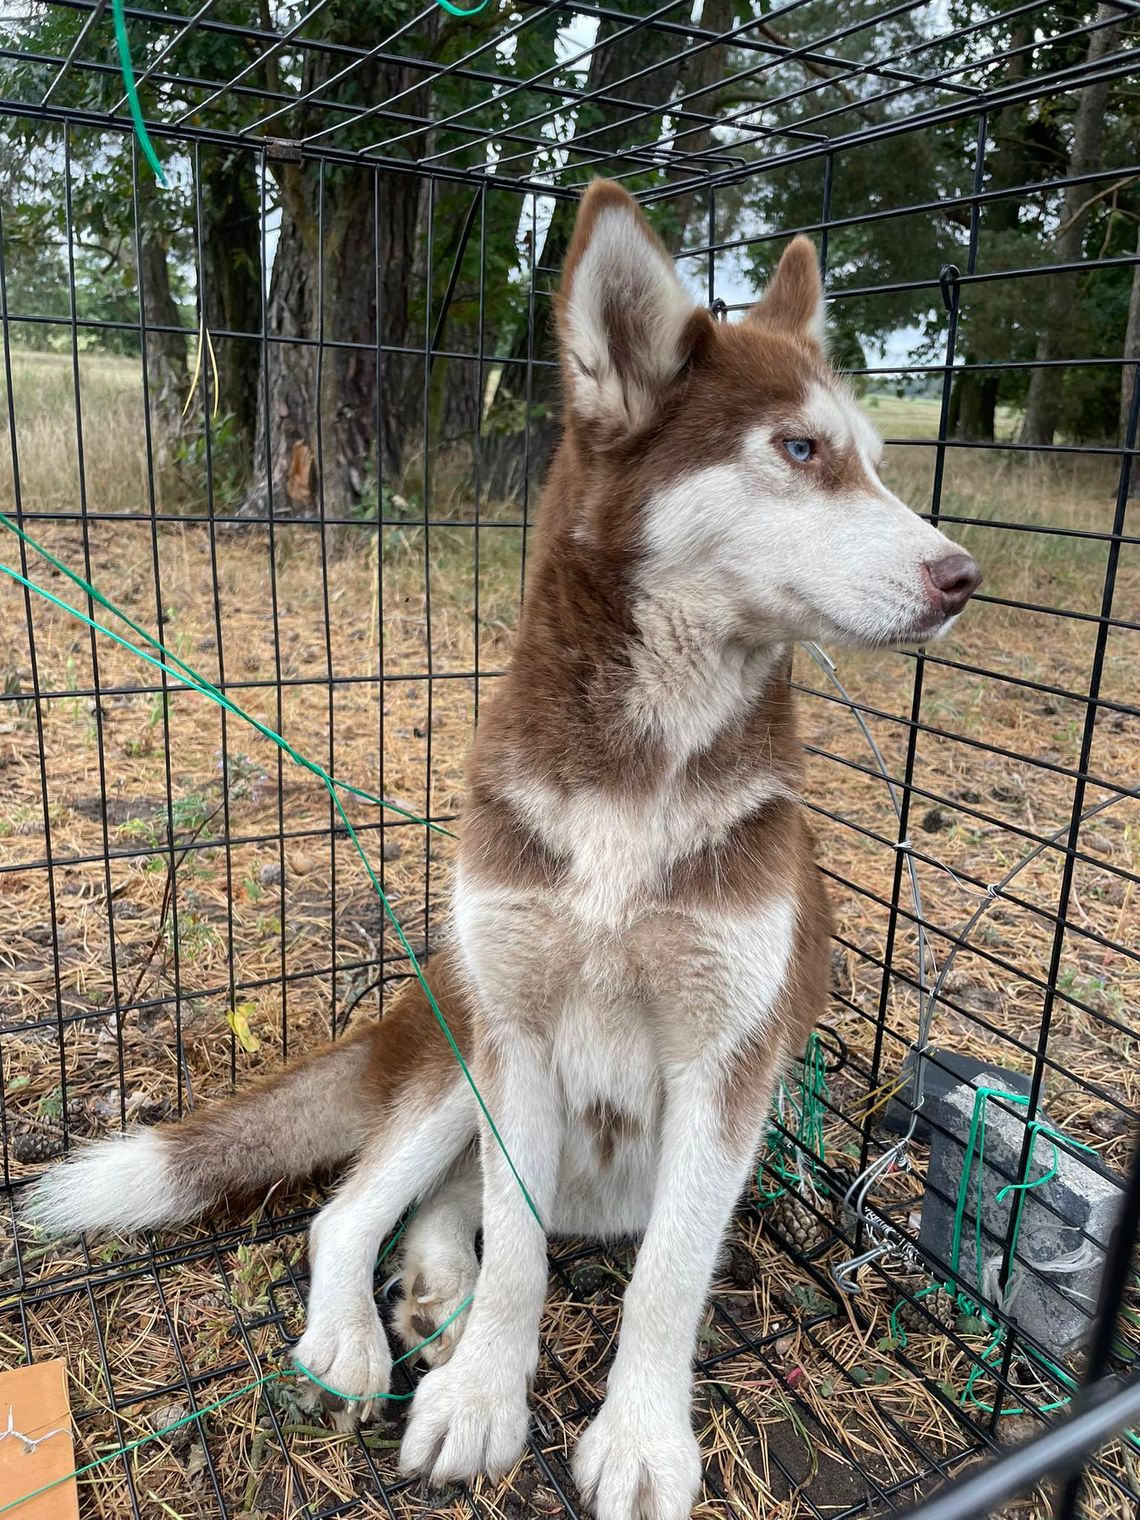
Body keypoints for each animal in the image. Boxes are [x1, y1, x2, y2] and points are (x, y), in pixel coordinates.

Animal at [31, 180, 984, 1520]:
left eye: (877, 462)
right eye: (802, 451)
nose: (965, 575)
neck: (637, 773)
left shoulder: (726, 1067)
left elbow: (667, 1278)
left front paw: (639, 1435)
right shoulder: (519, 1036)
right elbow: (524, 1249)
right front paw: (484, 1393)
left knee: (446, 1201)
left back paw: (439, 1281)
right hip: (459, 1044)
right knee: (353, 1212)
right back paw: (370, 1325)